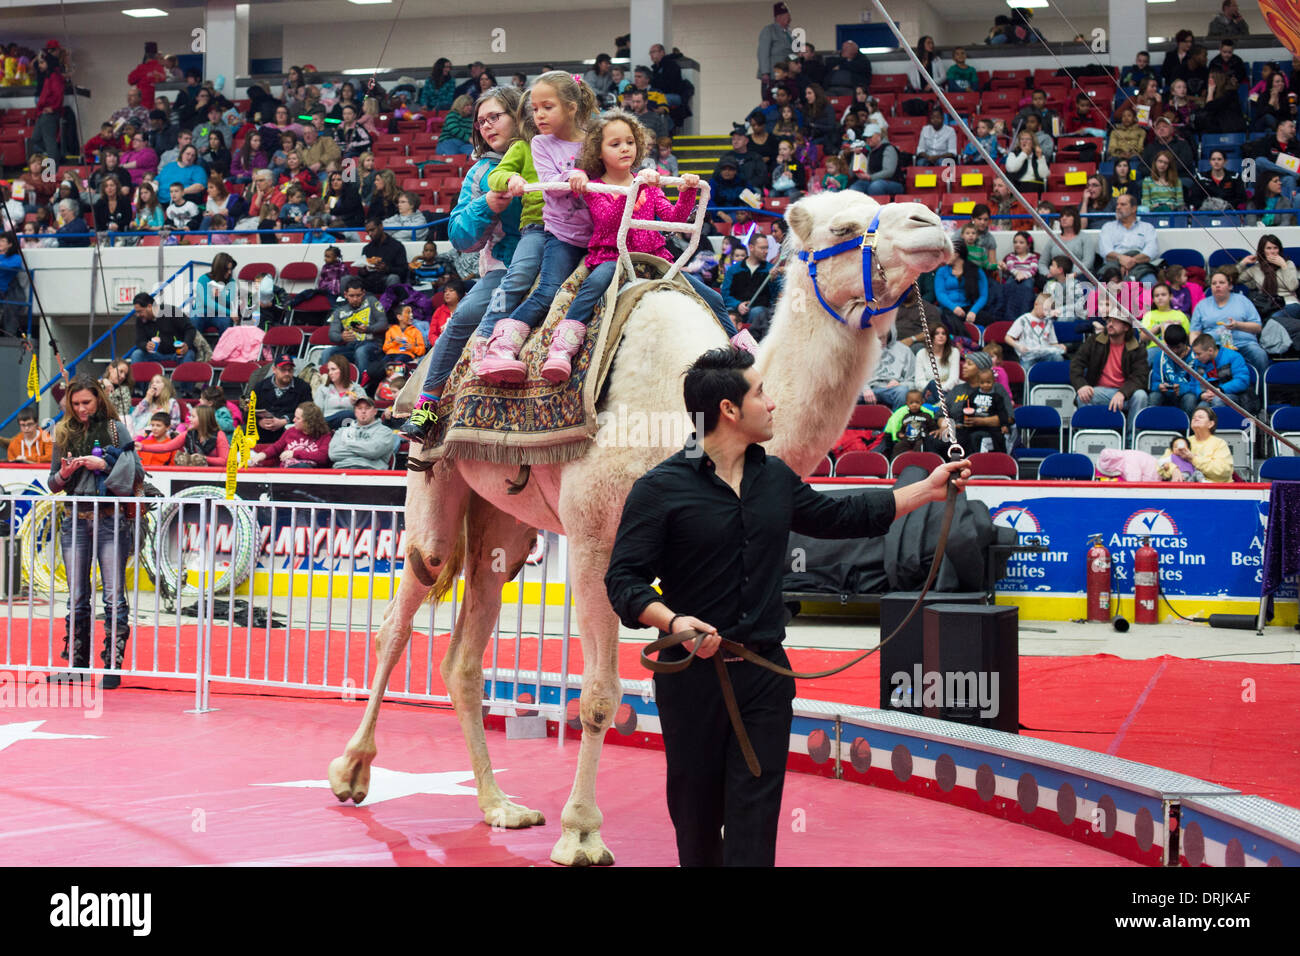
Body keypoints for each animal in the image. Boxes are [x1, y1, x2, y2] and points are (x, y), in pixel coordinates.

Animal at [327, 191, 956, 863]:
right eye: (843, 227)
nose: (931, 224)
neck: (681, 418)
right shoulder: (598, 540)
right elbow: (600, 693)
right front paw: (581, 832)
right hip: (433, 472)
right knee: (405, 604)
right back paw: (352, 772)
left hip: (502, 524)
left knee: (465, 655)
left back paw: (500, 806)